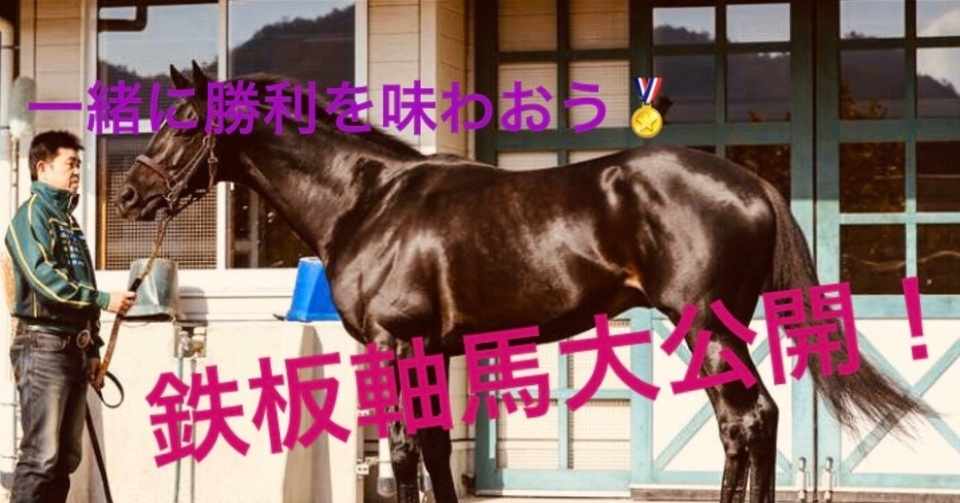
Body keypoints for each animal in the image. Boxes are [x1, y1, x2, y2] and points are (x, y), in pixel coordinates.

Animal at [116, 62, 927, 503]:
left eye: (184, 120)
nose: (129, 195)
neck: (369, 200)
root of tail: (752, 184)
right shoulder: (430, 351)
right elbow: (436, 448)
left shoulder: (394, 342)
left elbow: (405, 451)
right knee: (755, 422)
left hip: (706, 326)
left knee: (747, 420)